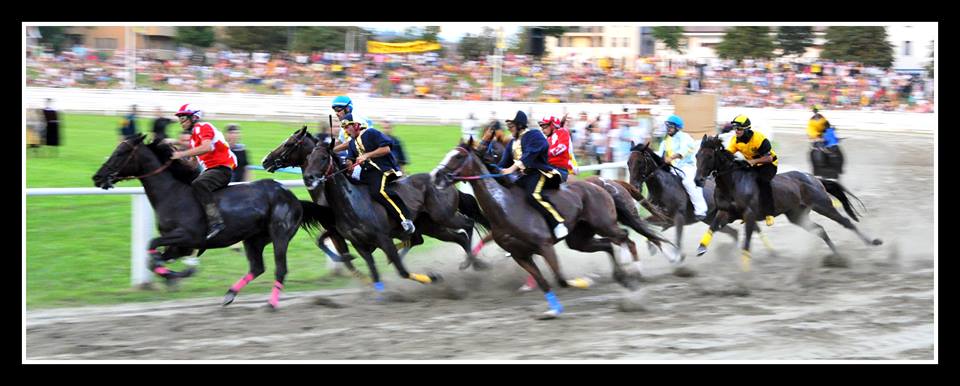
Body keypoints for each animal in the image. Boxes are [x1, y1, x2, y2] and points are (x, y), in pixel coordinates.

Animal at [94, 134, 326, 310]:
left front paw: (177, 274)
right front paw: (176, 275)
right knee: (257, 267)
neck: (173, 194)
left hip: (280, 235)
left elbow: (152, 246)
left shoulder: (187, 237)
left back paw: (271, 303)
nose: (97, 177)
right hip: (253, 239)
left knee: (280, 269)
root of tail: (293, 197)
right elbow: (154, 258)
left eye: (120, 153)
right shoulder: (179, 246)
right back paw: (229, 294)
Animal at [434, 139, 668, 320]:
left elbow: (560, 279)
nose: (436, 176)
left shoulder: (545, 245)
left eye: (458, 156)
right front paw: (553, 310)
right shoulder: (521, 254)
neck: (506, 206)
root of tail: (601, 185)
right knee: (609, 245)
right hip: (579, 238)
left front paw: (583, 282)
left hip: (604, 224)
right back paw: (622, 275)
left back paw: (634, 272)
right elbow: (545, 282)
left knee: (625, 238)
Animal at [692, 136, 880, 272]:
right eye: (696, 155)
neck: (733, 182)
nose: (698, 180)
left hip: (823, 205)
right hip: (796, 215)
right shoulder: (725, 212)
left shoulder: (749, 215)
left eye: (709, 156)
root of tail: (814, 179)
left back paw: (872, 243)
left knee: (845, 222)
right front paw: (701, 249)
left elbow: (746, 243)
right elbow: (712, 228)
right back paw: (837, 257)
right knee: (820, 230)